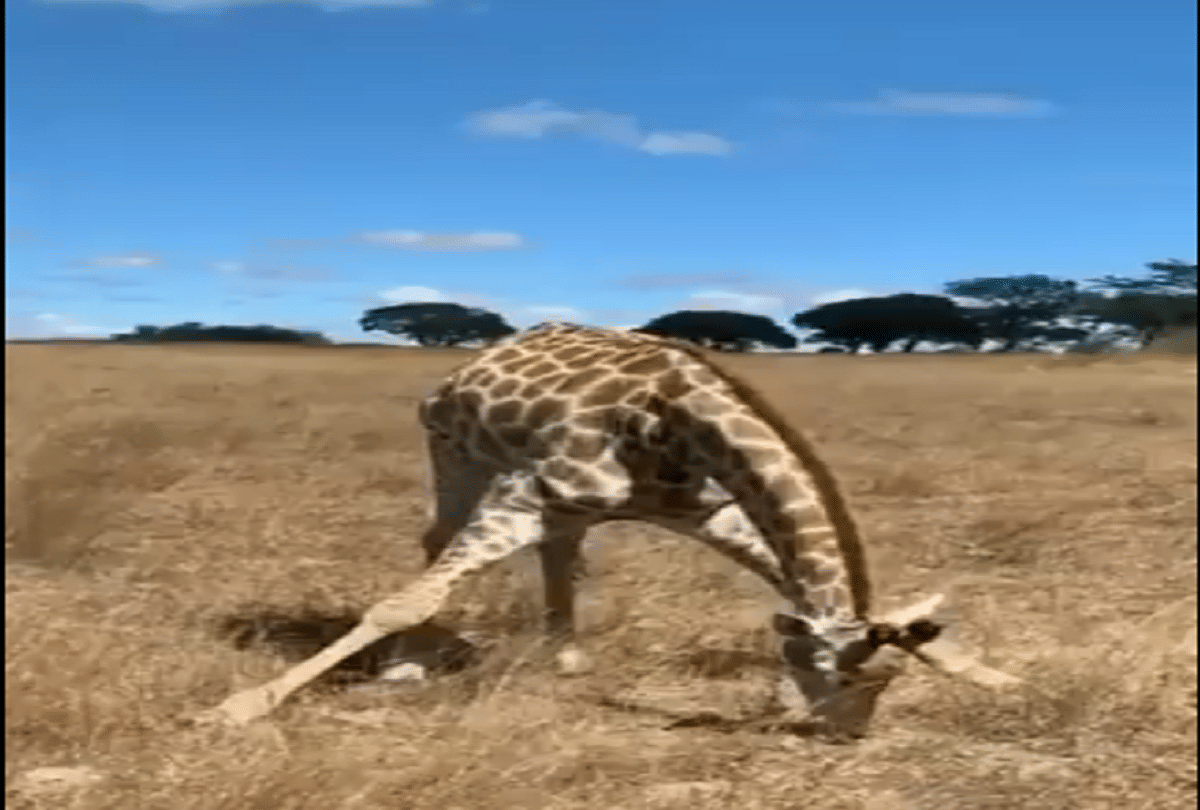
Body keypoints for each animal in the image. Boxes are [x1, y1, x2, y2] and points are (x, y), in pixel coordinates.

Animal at [199, 322, 1018, 737]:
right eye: (841, 678)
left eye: (883, 683)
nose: (846, 733)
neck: (680, 421)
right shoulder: (521, 491)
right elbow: (409, 598)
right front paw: (242, 707)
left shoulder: (703, 508)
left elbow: (785, 574)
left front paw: (990, 674)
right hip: (455, 450)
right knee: (435, 546)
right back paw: (409, 666)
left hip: (558, 501)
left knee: (563, 549)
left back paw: (564, 654)